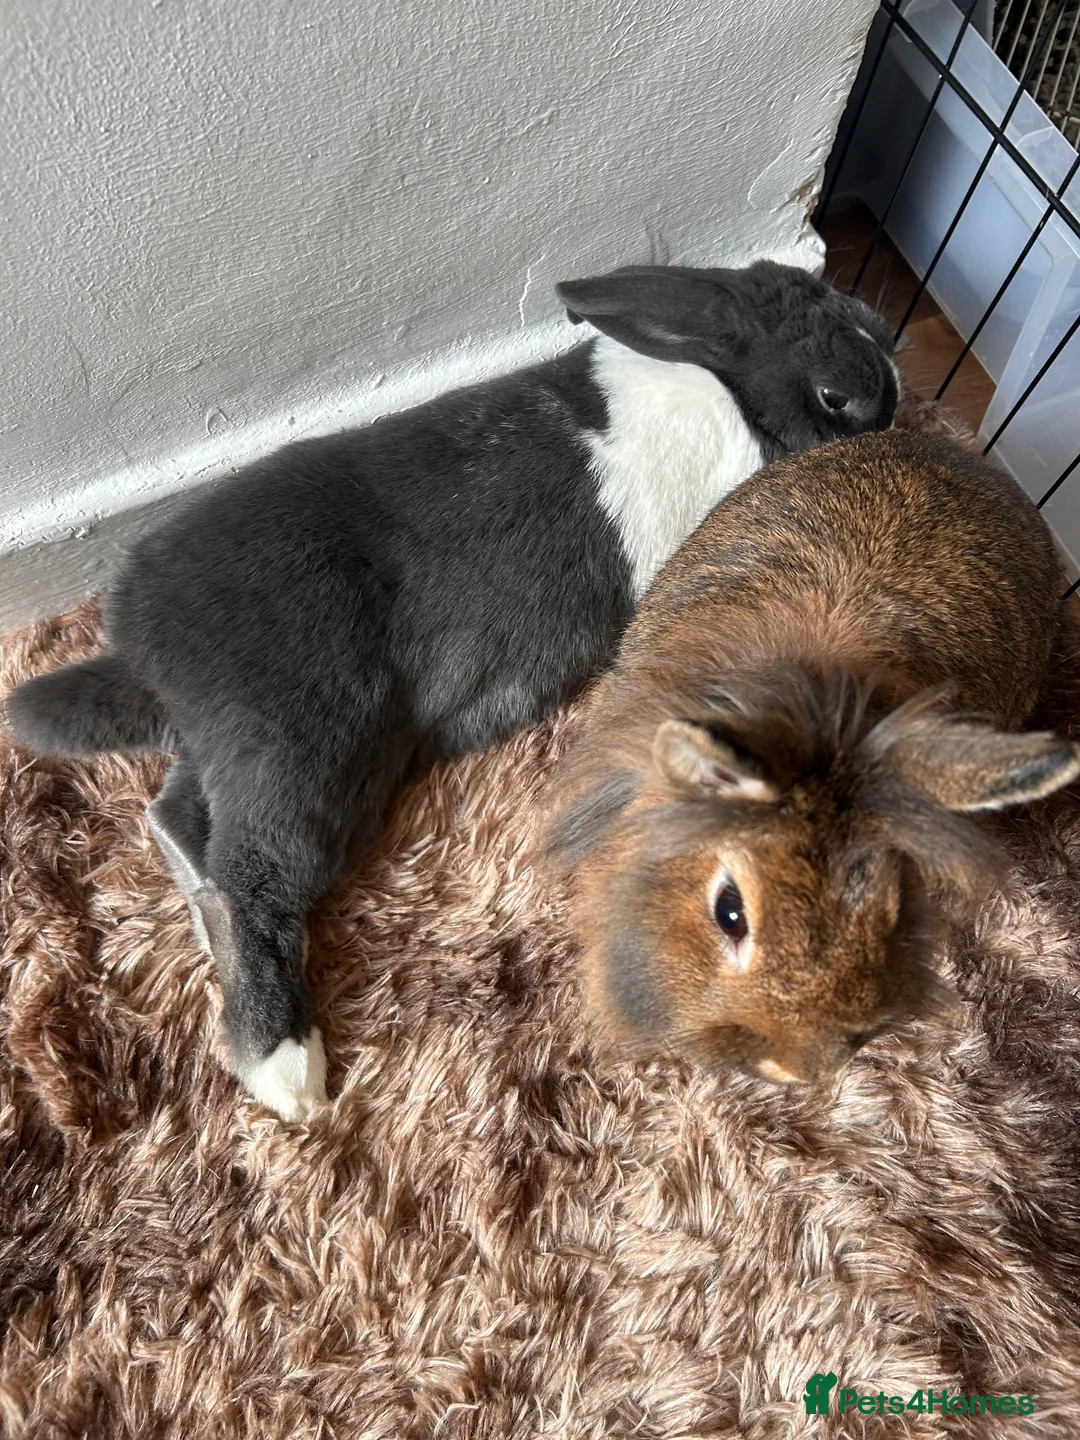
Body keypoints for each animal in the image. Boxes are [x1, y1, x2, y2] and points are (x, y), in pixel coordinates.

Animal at [2, 260, 898, 1121]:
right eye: (836, 396)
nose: (897, 413)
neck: (733, 396)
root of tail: (145, 651)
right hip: (309, 748)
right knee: (254, 879)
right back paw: (285, 1068)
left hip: (241, 752)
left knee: (186, 830)